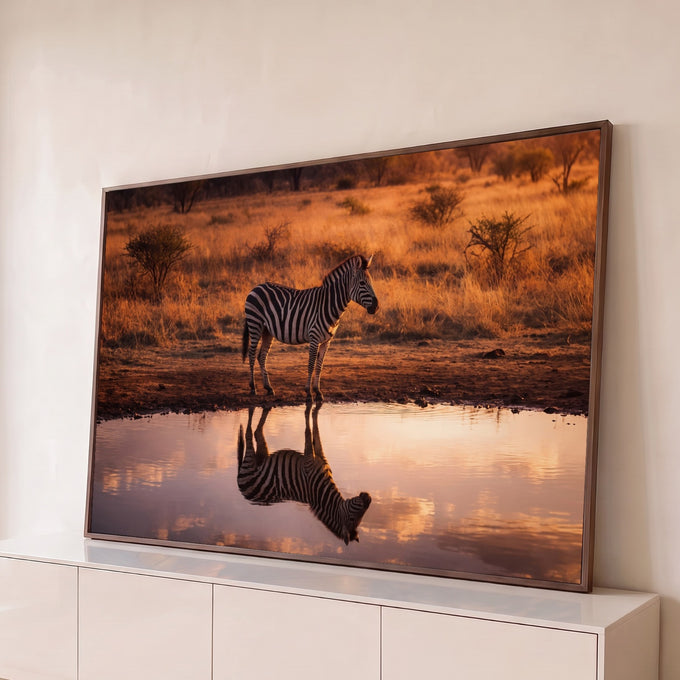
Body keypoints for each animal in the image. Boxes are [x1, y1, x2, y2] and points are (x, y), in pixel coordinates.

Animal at [237, 405, 372, 545]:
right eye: (352, 518)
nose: (369, 498)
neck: (320, 491)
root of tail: (245, 494)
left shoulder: (320, 456)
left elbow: (316, 434)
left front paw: (314, 411)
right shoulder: (308, 464)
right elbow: (308, 433)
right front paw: (309, 409)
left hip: (261, 456)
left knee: (257, 433)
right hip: (250, 463)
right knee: (248, 433)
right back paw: (252, 409)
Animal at [241, 254, 378, 402]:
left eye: (371, 282)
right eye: (362, 283)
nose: (376, 307)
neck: (329, 304)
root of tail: (257, 286)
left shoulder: (326, 341)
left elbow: (319, 366)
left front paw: (318, 391)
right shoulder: (314, 338)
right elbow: (311, 364)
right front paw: (308, 393)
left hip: (267, 331)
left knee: (261, 356)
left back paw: (269, 388)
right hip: (255, 324)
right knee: (251, 354)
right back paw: (253, 388)